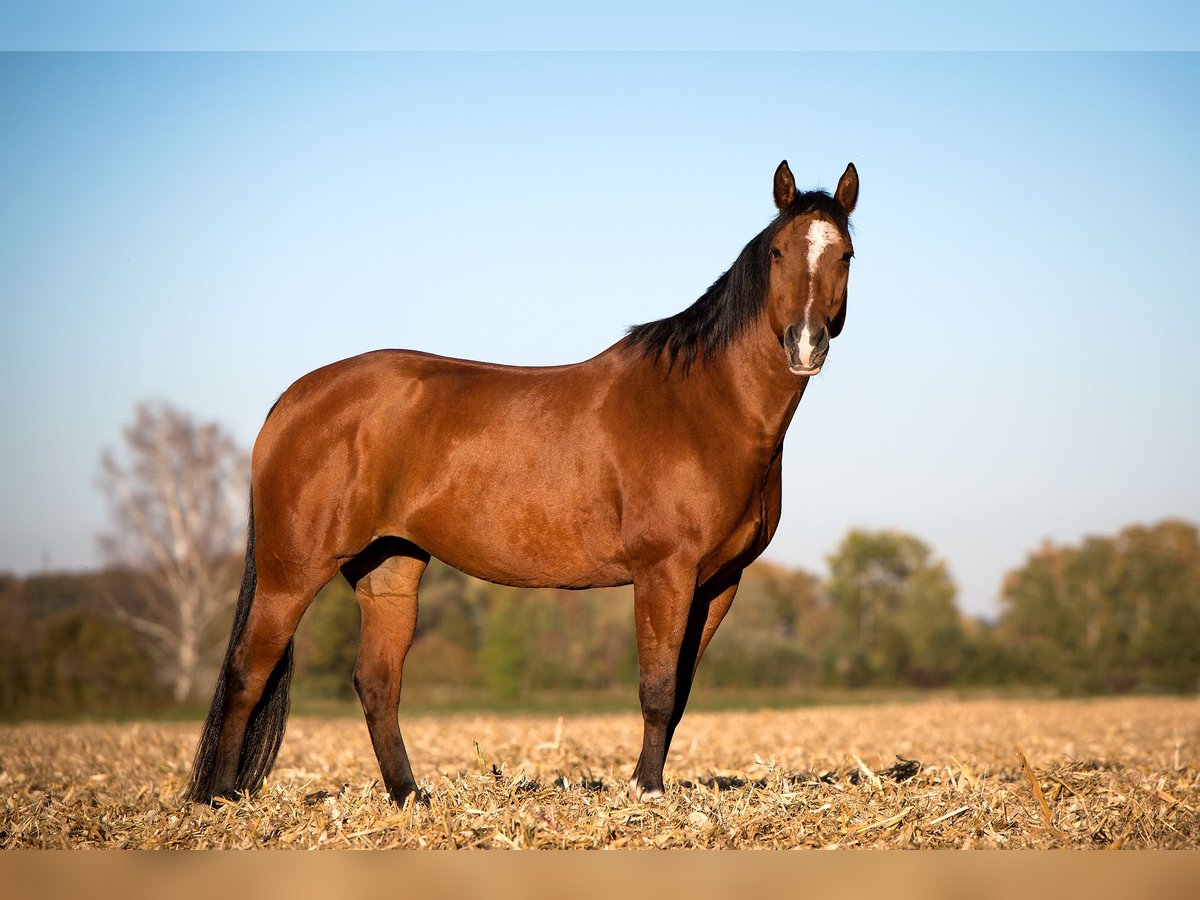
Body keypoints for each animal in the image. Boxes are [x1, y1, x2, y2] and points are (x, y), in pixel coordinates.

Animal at [182, 160, 859, 811]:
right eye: (779, 252)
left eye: (846, 254)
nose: (805, 344)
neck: (700, 408)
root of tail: (294, 400)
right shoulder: (665, 572)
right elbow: (659, 687)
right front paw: (645, 792)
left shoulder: (719, 582)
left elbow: (683, 691)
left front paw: (649, 785)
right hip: (291, 571)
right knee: (247, 672)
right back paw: (219, 800)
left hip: (389, 568)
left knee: (376, 684)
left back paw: (409, 798)